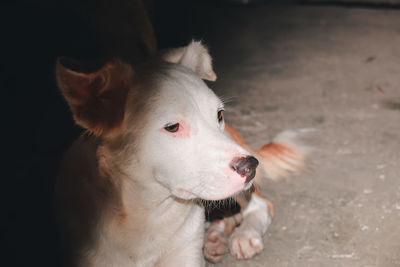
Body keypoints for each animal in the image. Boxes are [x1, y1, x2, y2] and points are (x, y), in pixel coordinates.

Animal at [55, 40, 306, 266]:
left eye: (219, 114)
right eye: (173, 127)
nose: (251, 166)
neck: (149, 213)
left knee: (261, 203)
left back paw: (243, 236)